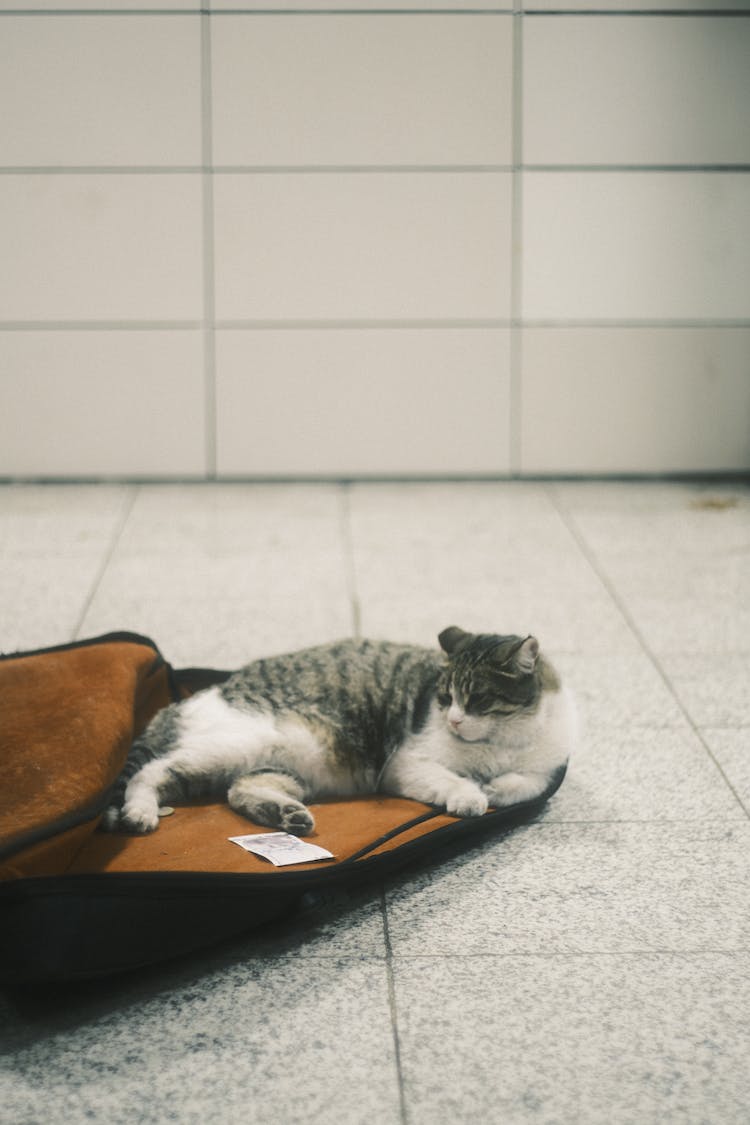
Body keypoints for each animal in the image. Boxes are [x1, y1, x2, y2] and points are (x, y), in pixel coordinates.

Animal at [102, 630, 575, 841]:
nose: (455, 721)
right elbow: (451, 779)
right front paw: (471, 795)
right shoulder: (405, 764)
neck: (501, 743)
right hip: (233, 746)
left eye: (476, 699)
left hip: (283, 768)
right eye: (444, 698)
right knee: (149, 772)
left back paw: (287, 815)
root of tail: (179, 703)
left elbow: (527, 784)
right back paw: (139, 813)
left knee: (238, 790)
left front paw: (496, 788)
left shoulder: (548, 766)